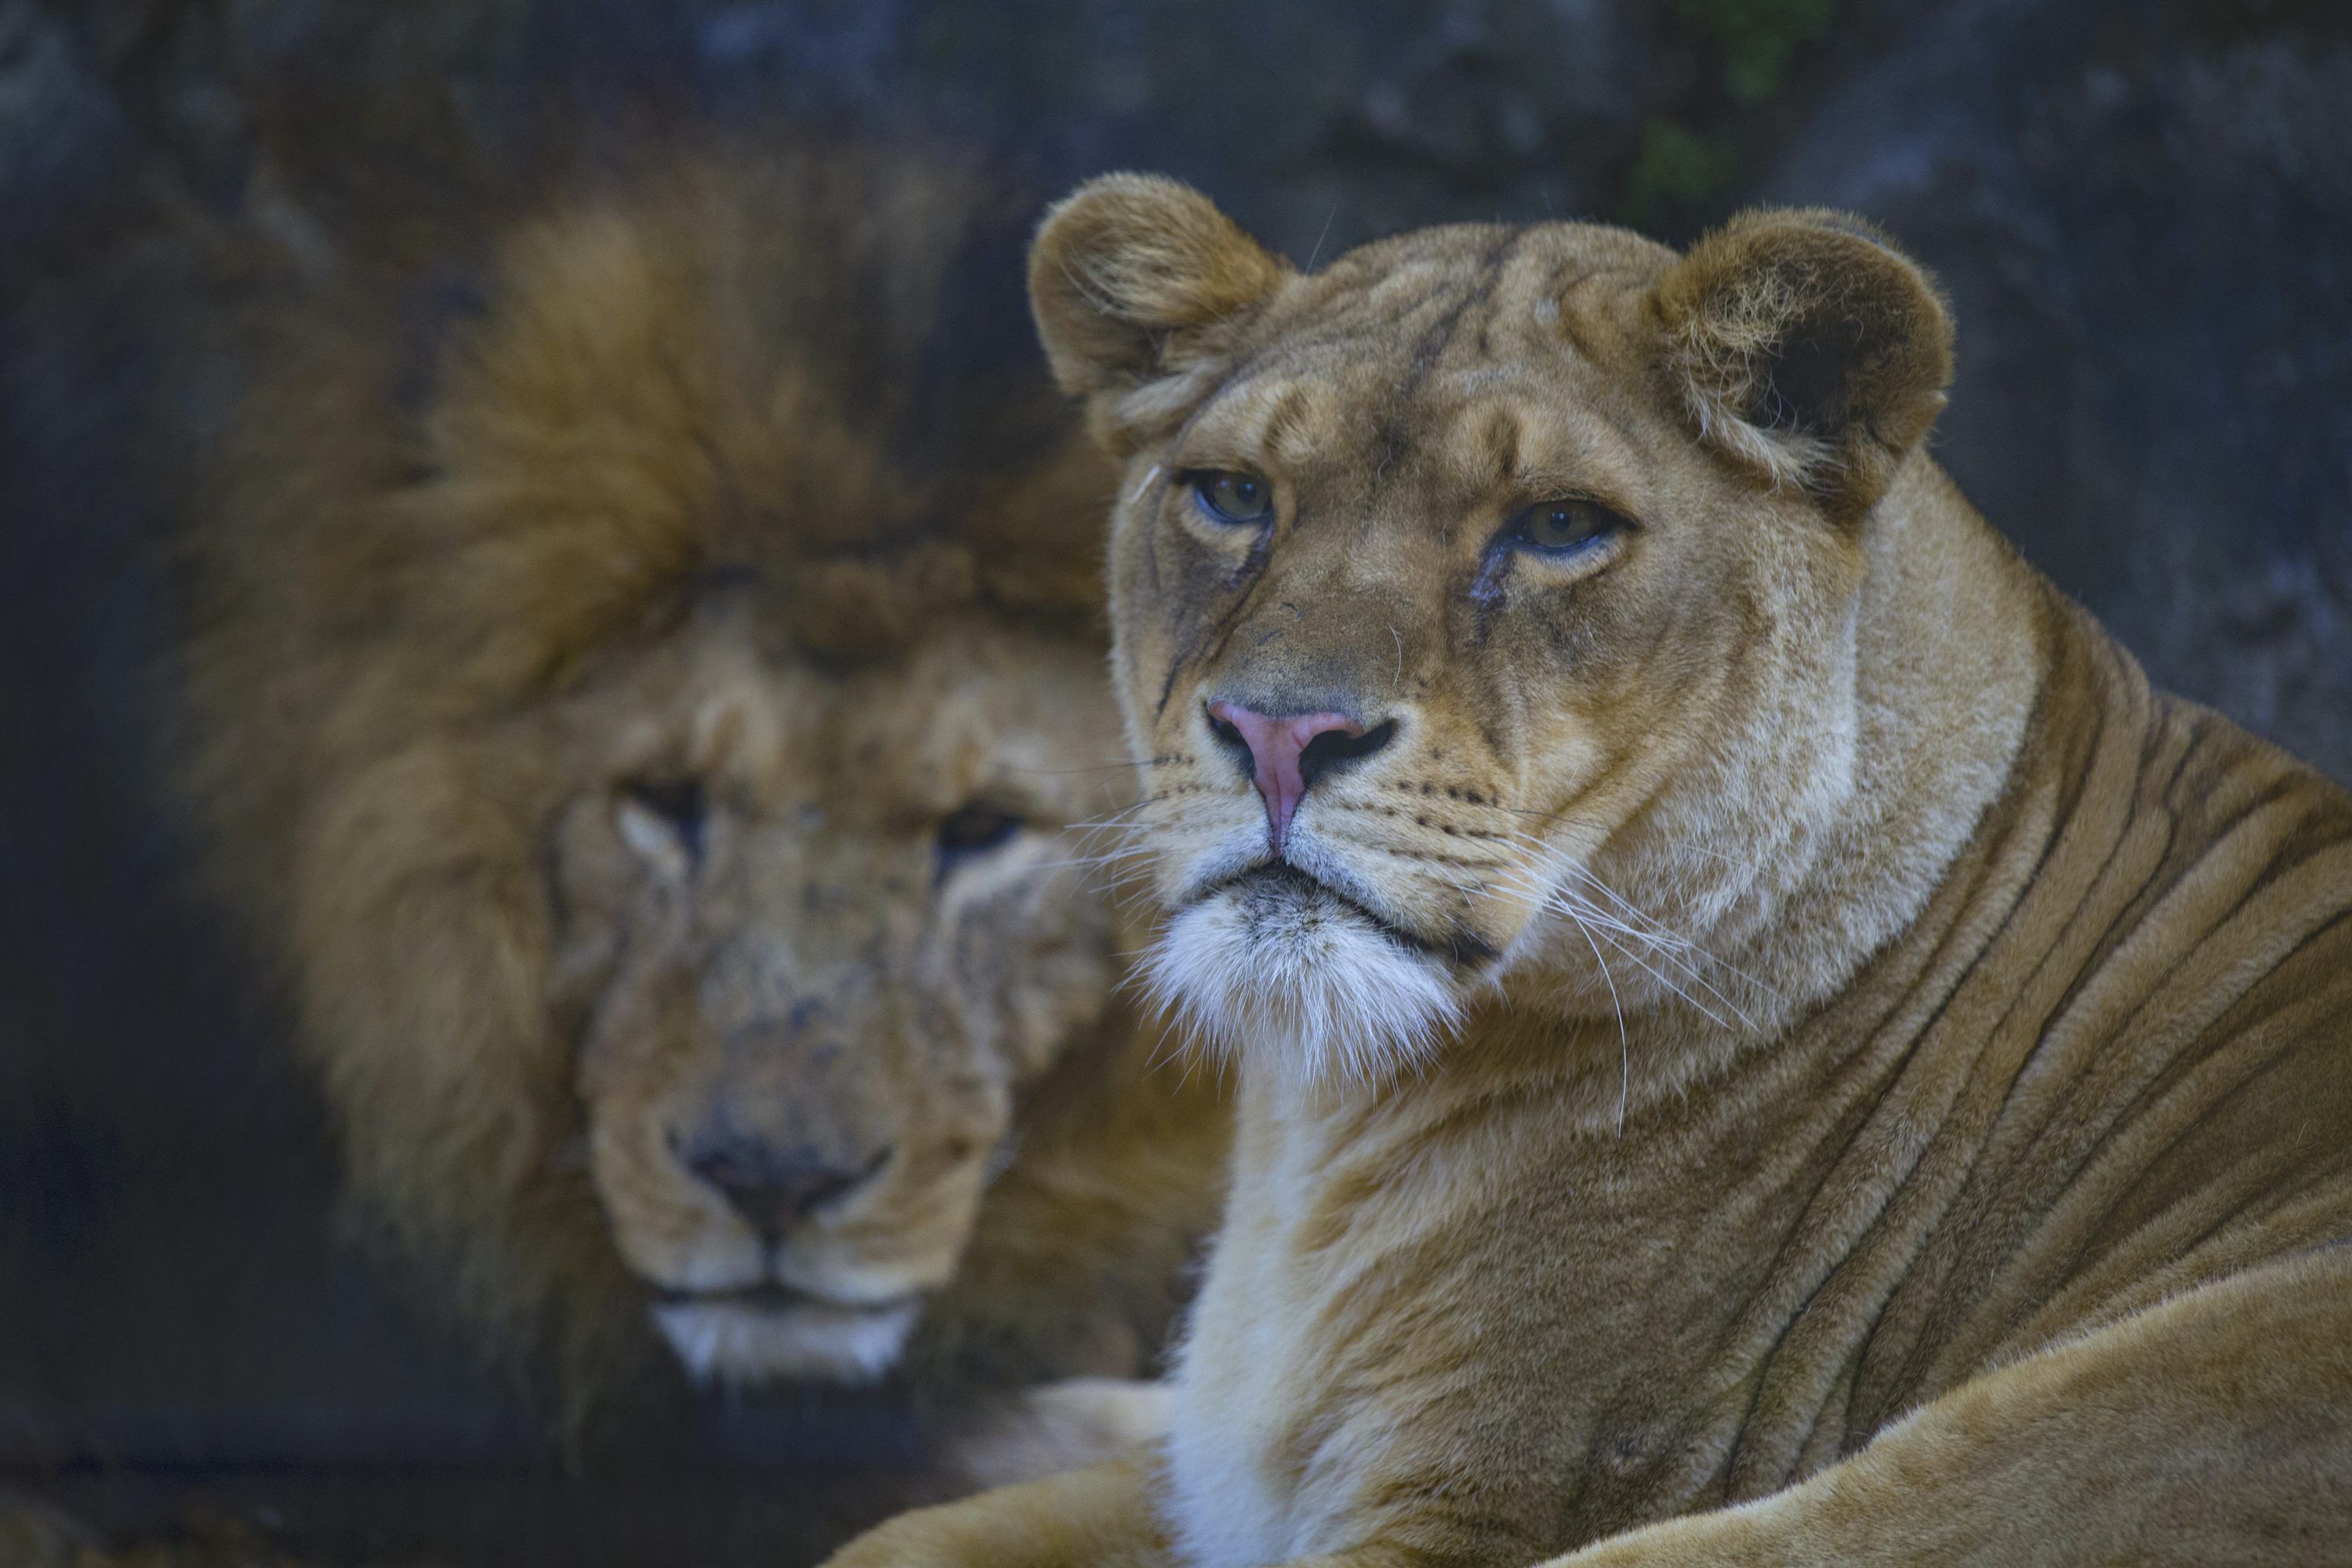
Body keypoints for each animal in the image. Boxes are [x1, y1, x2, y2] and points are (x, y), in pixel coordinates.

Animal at [820, 181, 2352, 1568]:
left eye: (1558, 527)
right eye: (1233, 497)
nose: (1279, 732)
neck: (1325, 1132)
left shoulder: (1488, 1504)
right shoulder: (1212, 1482)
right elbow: (900, 1538)